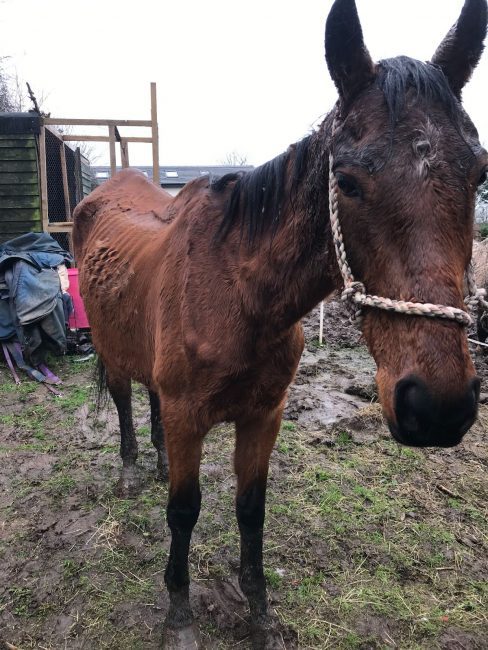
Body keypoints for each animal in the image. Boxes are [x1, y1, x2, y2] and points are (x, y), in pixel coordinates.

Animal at [73, 0, 488, 644]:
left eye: (480, 174)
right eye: (346, 181)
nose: (438, 405)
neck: (240, 293)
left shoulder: (264, 415)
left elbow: (251, 509)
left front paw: (260, 613)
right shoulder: (191, 416)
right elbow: (183, 511)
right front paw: (179, 617)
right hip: (110, 346)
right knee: (122, 399)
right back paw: (131, 470)